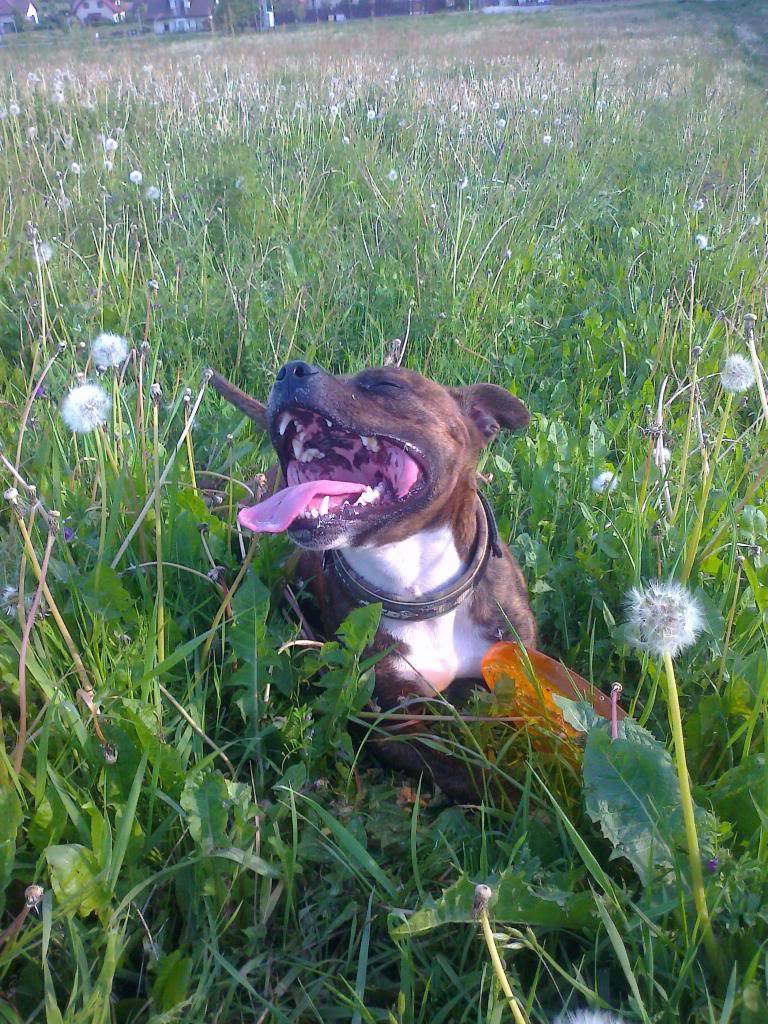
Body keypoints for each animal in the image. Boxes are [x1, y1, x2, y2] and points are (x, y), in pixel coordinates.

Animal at [207, 360, 536, 798]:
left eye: (385, 384)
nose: (291, 369)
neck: (416, 586)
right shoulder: (392, 722)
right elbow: (466, 773)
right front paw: (517, 798)